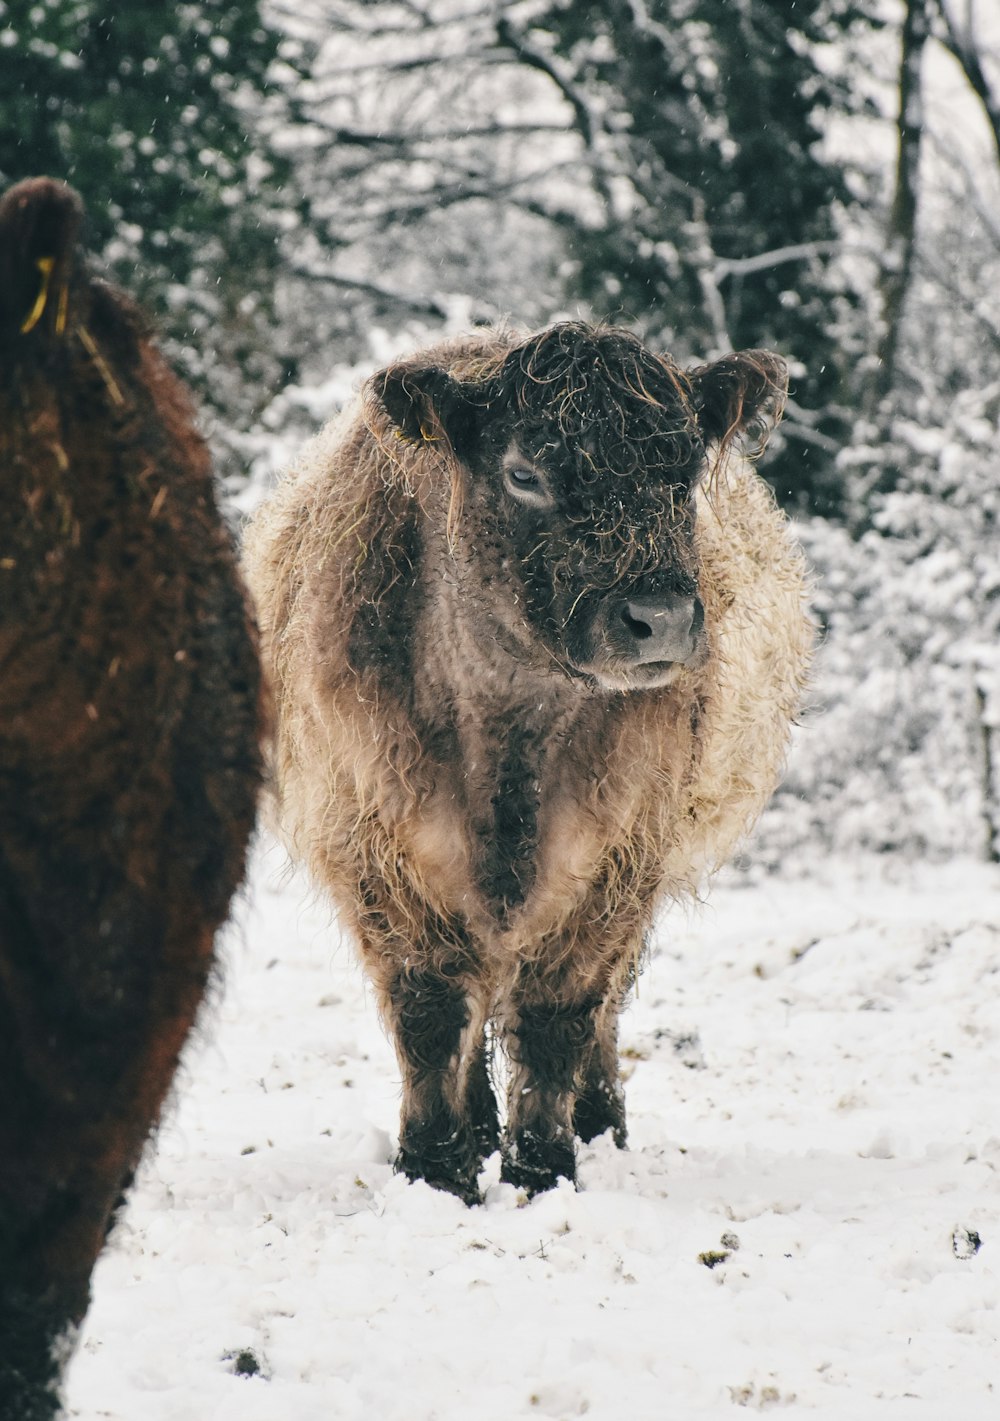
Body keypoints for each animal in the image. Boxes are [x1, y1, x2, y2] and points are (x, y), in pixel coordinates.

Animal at [244, 326, 812, 1205]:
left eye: (683, 468)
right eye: (525, 473)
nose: (660, 618)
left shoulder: (618, 856)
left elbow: (559, 1013)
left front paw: (541, 1169)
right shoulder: (376, 848)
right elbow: (431, 1011)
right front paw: (436, 1167)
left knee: (599, 1006)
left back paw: (598, 1122)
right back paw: (478, 1127)